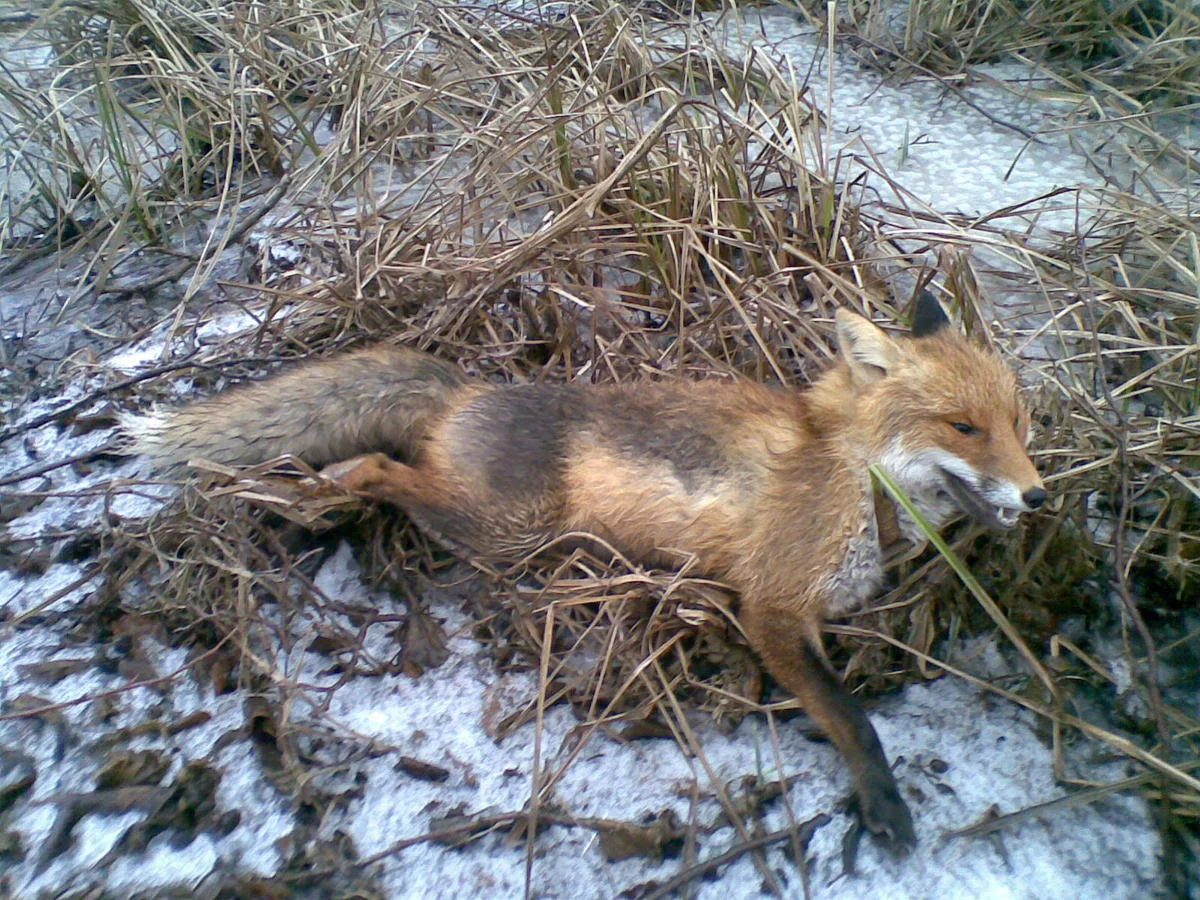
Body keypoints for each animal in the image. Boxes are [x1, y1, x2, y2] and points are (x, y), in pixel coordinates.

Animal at [126, 292, 1046, 851]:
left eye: (1019, 420)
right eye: (963, 427)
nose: (1038, 496)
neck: (861, 477)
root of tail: (470, 391)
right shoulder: (772, 606)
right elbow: (854, 717)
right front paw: (882, 803)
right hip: (504, 530)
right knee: (378, 470)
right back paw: (314, 494)